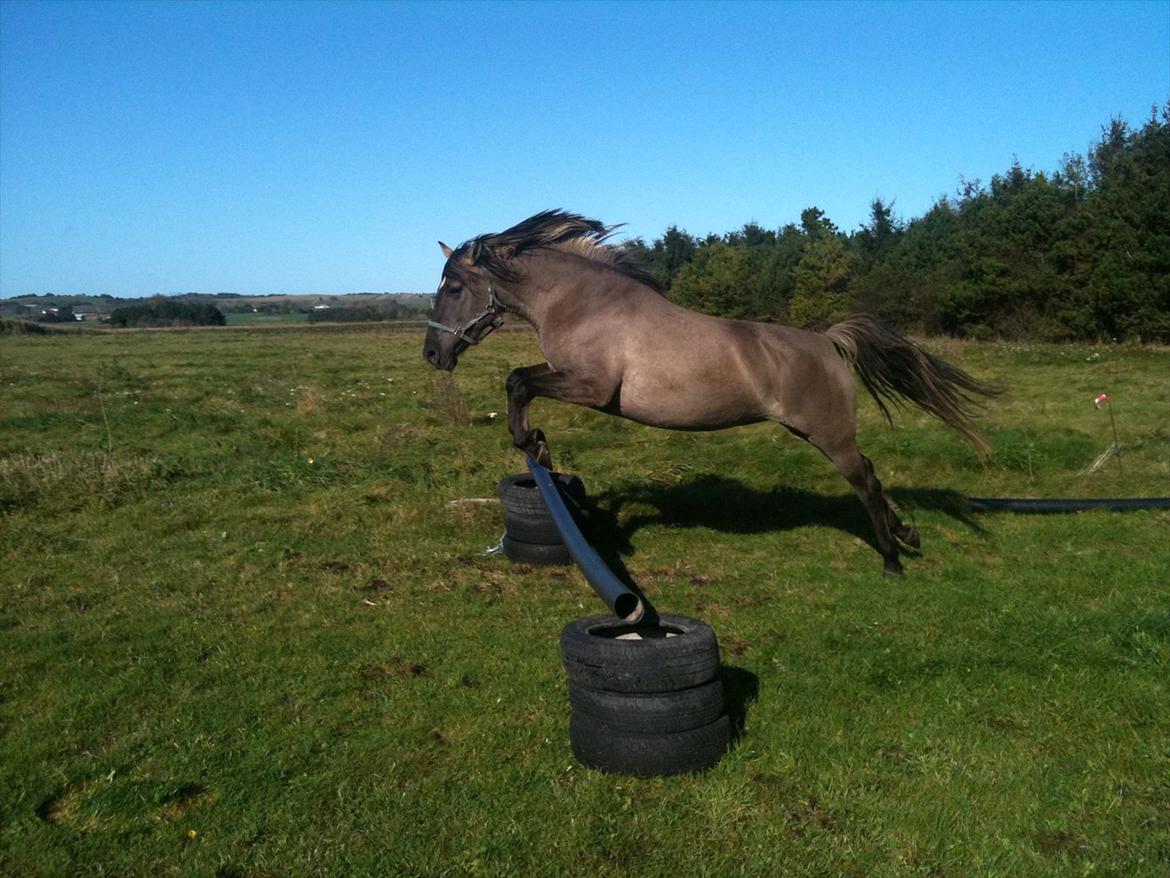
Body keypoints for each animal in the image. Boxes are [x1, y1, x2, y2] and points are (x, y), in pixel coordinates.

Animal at [423, 209, 996, 573]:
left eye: (455, 287)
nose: (433, 354)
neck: (581, 301)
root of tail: (830, 343)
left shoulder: (591, 387)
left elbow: (517, 380)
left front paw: (531, 441)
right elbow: (520, 382)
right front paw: (539, 447)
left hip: (830, 436)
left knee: (867, 484)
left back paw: (893, 559)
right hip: (816, 433)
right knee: (873, 475)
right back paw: (907, 536)